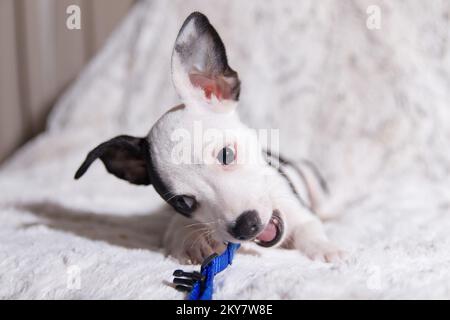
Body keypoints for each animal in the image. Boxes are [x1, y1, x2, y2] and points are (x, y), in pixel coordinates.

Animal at [74, 11, 342, 264]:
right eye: (184, 203)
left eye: (226, 155)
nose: (245, 226)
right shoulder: (177, 221)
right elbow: (177, 230)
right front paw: (193, 241)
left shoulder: (300, 211)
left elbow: (310, 229)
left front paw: (325, 248)